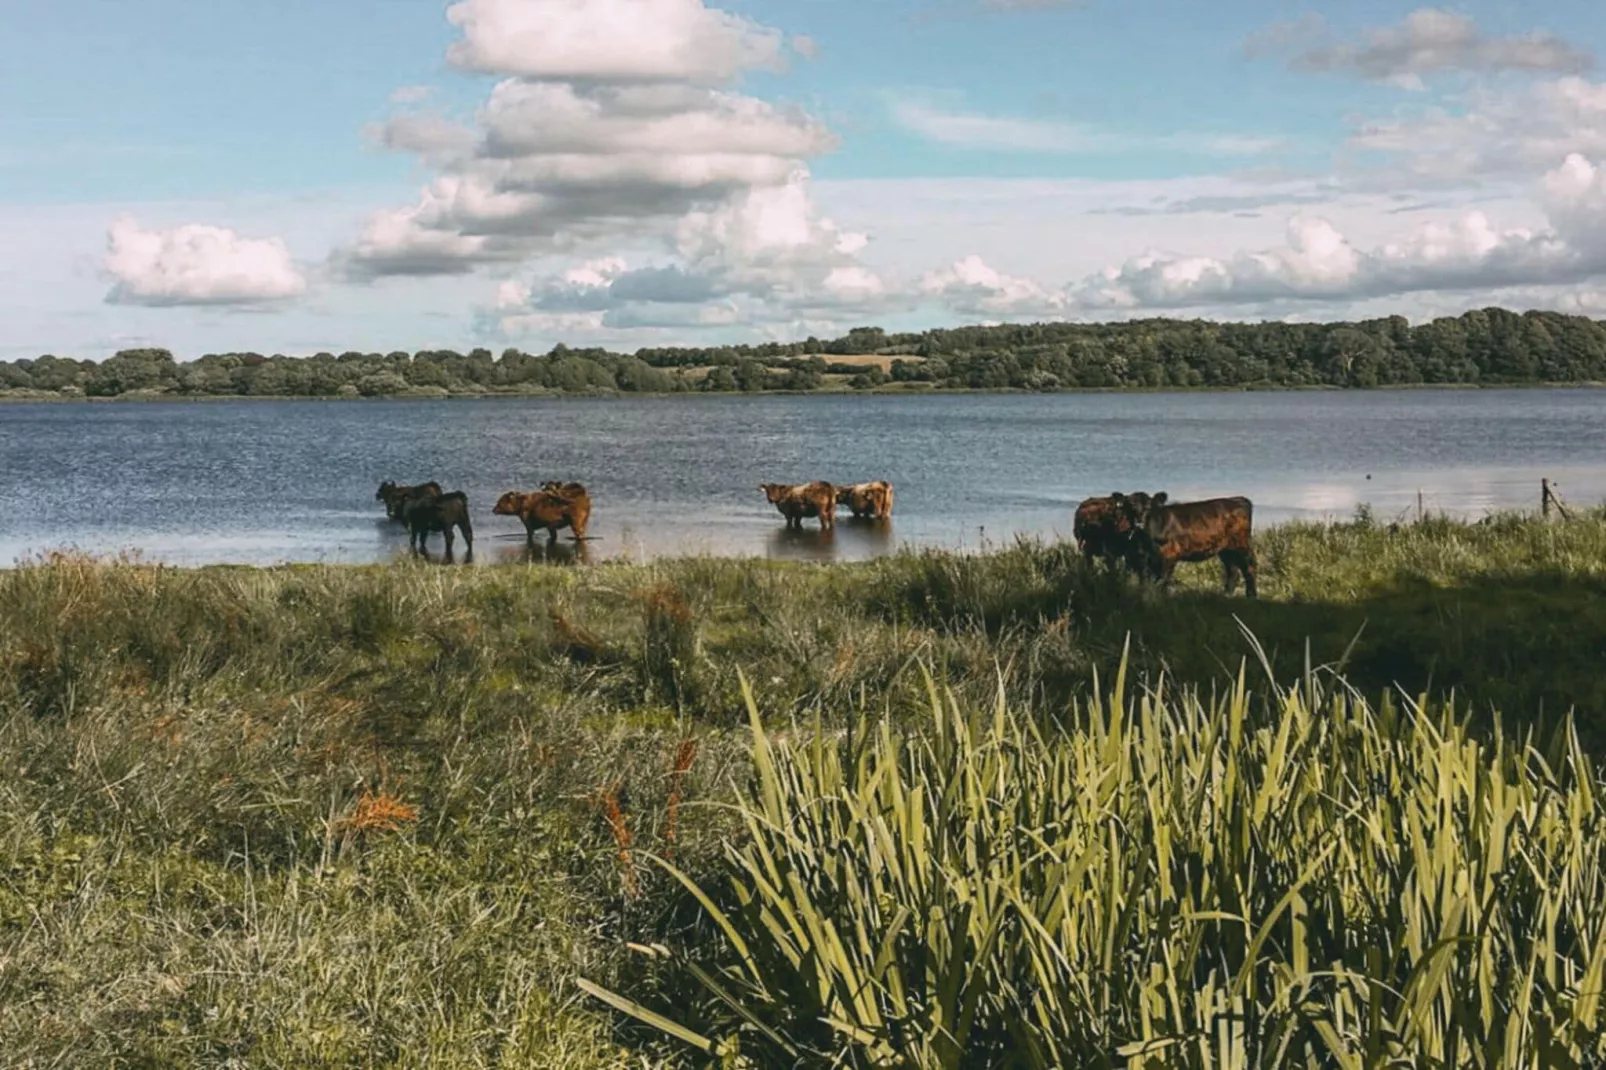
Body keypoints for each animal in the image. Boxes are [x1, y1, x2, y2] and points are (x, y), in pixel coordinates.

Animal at [1117, 494, 1252, 600]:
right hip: (1226, 549)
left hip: (1241, 544)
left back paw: (1252, 596)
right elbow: (1146, 582)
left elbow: (1162, 581)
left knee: (1249, 567)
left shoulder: (1169, 557)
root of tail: (1237, 499)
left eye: (1149, 506)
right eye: (1130, 505)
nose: (1139, 522)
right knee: (1232, 570)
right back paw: (1226, 595)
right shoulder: (1142, 562)